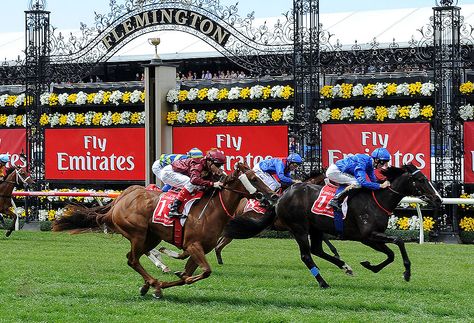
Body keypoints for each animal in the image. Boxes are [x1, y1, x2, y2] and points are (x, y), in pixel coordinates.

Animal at [52, 163, 276, 300]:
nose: (273, 195)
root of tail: (121, 198)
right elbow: (204, 272)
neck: (212, 210)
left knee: (135, 256)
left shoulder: (199, 249)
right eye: (254, 179)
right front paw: (163, 283)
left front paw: (171, 279)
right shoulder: (193, 245)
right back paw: (153, 282)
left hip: (151, 236)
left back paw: (149, 283)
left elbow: (188, 275)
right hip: (138, 233)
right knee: (132, 259)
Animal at [224, 165, 442, 288]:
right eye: (421, 180)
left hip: (315, 228)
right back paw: (323, 282)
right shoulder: (367, 236)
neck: (378, 200)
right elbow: (398, 243)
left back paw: (346, 267)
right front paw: (407, 273)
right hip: (299, 228)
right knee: (307, 255)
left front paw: (370, 266)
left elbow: (391, 254)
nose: (438, 199)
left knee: (317, 250)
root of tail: (280, 197)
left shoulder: (371, 237)